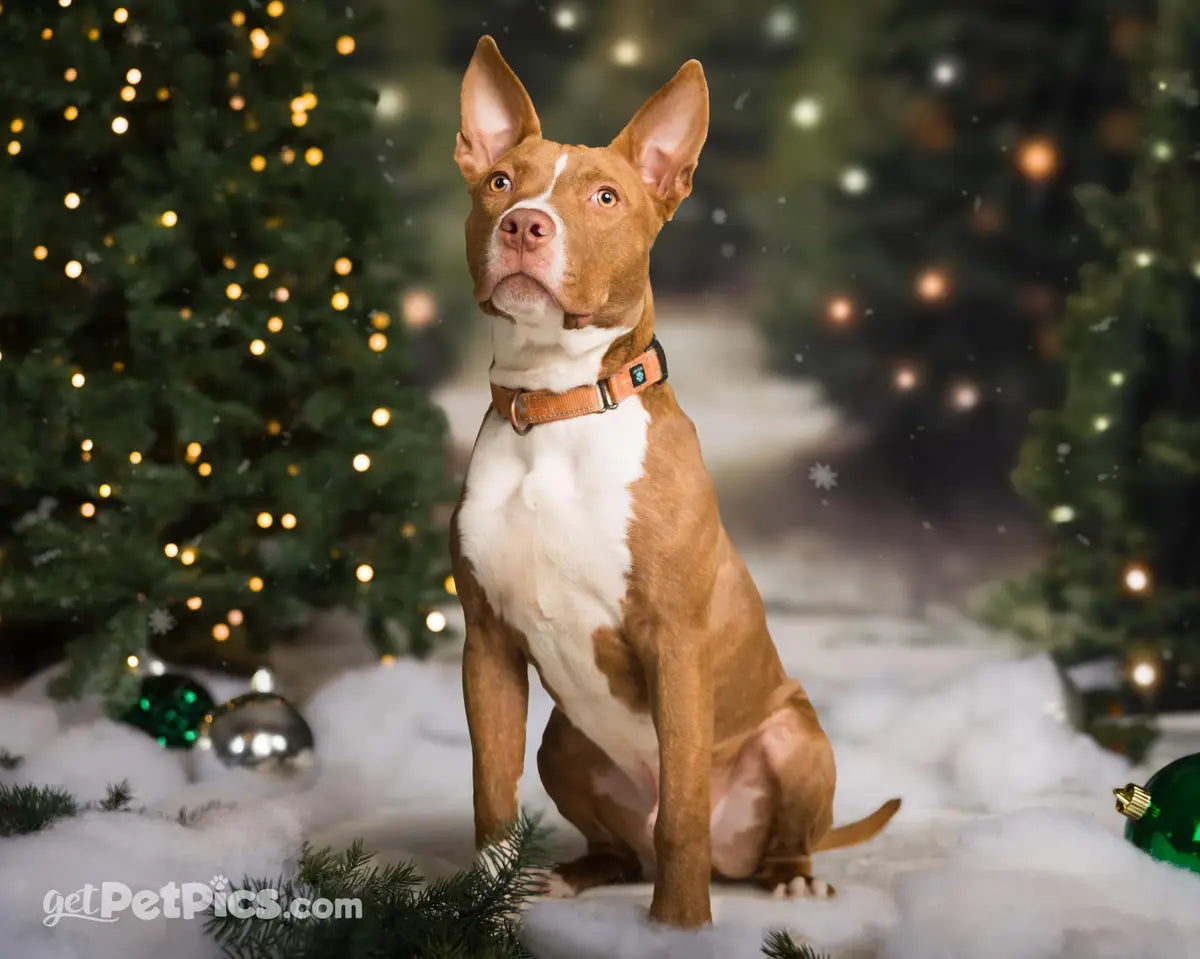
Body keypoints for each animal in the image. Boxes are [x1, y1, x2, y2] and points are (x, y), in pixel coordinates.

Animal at [451, 37, 902, 931]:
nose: (525, 224)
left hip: (795, 737)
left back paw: (791, 878)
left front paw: (680, 927)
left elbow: (687, 809)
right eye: (501, 182)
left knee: (751, 836)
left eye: (605, 197)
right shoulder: (485, 643)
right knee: (626, 846)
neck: (555, 410)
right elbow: (490, 795)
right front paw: (485, 909)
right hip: (563, 740)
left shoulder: (676, 645)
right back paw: (576, 873)